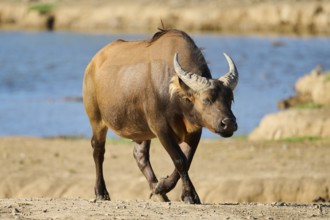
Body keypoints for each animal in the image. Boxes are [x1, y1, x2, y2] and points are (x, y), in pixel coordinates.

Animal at [81, 28, 238, 204]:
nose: (229, 123)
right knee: (98, 151)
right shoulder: (161, 128)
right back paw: (101, 192)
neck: (176, 98)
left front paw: (162, 187)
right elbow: (179, 160)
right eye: (206, 99)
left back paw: (159, 192)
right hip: (97, 120)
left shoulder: (195, 130)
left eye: (230, 98)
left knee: (140, 156)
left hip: (141, 131)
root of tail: (92, 64)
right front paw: (189, 194)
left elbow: (187, 159)